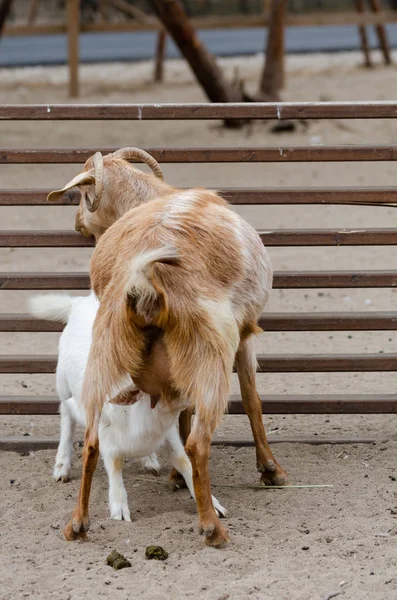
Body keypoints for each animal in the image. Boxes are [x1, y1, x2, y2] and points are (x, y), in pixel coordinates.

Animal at [28, 292, 226, 520]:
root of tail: (80, 301)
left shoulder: (167, 431)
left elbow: (183, 460)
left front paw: (213, 505)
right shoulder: (105, 432)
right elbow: (114, 463)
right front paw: (120, 510)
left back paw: (149, 460)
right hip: (63, 387)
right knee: (66, 418)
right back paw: (62, 465)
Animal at [48, 148, 286, 548]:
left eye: (82, 195)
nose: (77, 224)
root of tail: (146, 288)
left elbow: (182, 413)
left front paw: (175, 479)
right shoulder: (244, 333)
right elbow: (252, 399)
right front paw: (270, 470)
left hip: (106, 351)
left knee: (93, 440)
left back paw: (77, 525)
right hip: (210, 353)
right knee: (198, 444)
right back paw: (212, 528)